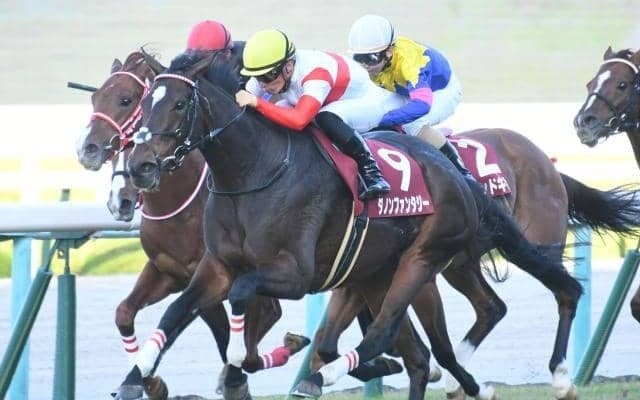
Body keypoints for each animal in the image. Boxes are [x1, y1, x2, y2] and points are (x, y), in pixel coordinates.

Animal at [116, 51, 584, 400]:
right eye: (143, 104)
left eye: (179, 104)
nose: (140, 167)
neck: (253, 173)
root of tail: (457, 175)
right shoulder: (215, 267)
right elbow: (175, 314)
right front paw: (136, 376)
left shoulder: (295, 274)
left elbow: (242, 298)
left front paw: (259, 354)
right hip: (378, 271)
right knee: (420, 354)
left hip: (424, 259)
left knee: (386, 334)